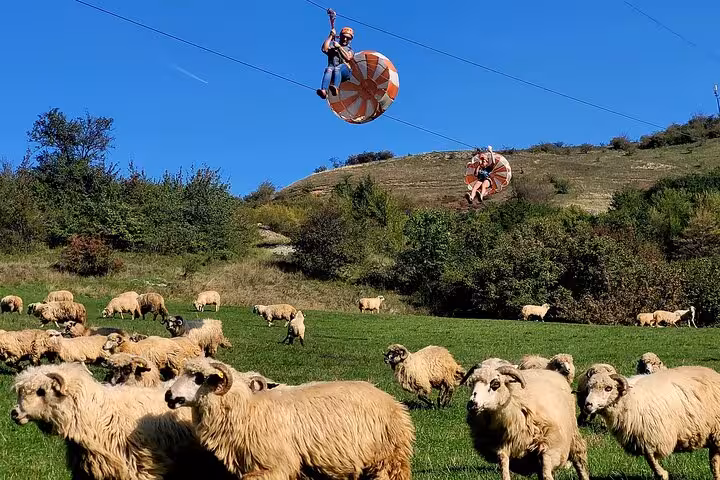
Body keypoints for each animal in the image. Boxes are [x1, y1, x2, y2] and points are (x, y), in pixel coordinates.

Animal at [165, 358, 415, 480]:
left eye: (199, 378)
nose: (168, 395)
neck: (247, 408)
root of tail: (392, 401)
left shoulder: (275, 465)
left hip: (389, 458)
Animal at [583, 366, 720, 480]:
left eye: (608, 388)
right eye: (589, 388)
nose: (588, 405)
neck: (629, 399)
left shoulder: (653, 437)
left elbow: (651, 458)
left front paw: (663, 474)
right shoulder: (642, 439)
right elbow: (650, 459)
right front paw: (661, 474)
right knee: (714, 461)